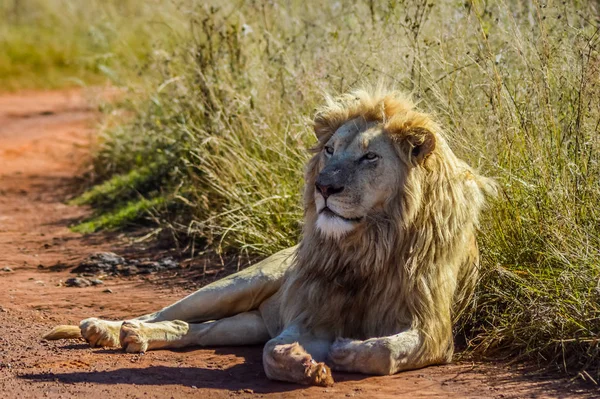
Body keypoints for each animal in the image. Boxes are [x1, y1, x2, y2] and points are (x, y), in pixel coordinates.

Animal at [44, 87, 496, 388]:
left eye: (370, 156)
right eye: (329, 151)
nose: (324, 187)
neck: (368, 242)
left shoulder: (433, 330)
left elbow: (387, 349)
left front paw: (346, 351)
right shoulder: (308, 316)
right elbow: (272, 353)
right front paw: (304, 363)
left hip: (248, 321)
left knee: (196, 330)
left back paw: (134, 336)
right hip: (241, 283)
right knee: (165, 311)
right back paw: (107, 328)